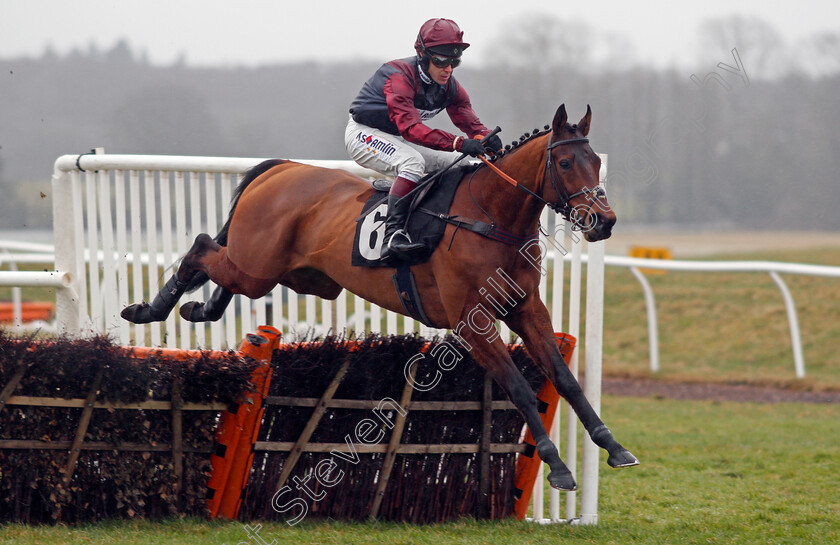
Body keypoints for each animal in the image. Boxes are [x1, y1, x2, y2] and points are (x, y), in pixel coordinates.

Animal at [123, 104, 636, 490]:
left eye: (596, 162)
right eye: (566, 163)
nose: (605, 222)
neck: (490, 216)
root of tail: (281, 168)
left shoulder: (526, 308)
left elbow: (565, 379)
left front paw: (613, 446)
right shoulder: (472, 322)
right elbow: (521, 389)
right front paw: (559, 467)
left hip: (297, 276)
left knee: (221, 268)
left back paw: (198, 307)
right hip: (257, 266)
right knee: (202, 247)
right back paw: (149, 309)